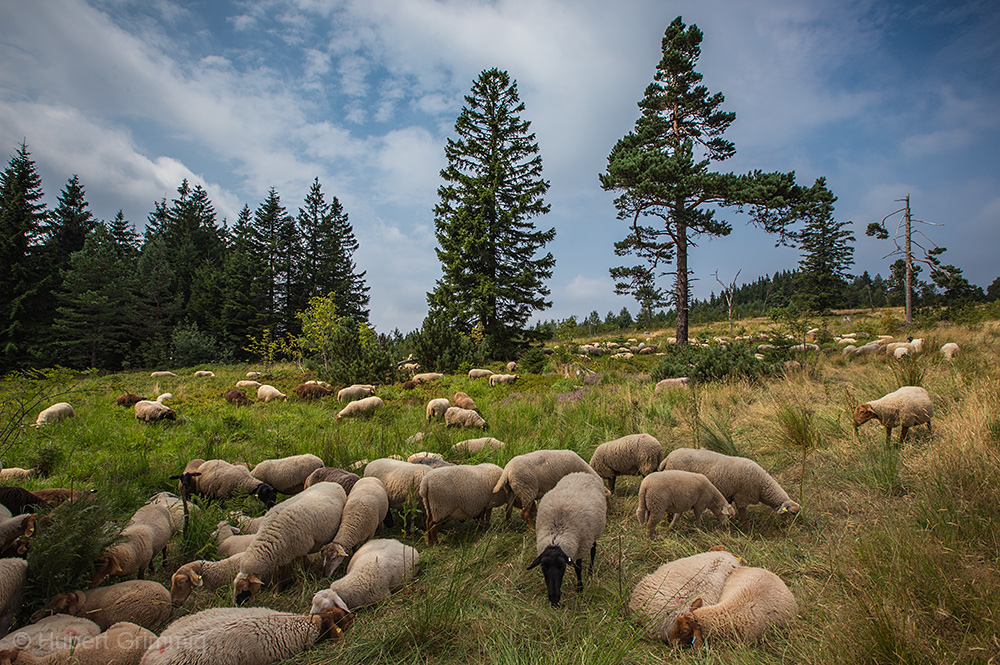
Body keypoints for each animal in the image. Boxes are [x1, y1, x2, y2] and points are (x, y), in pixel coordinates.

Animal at [528, 470, 604, 604]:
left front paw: (580, 588)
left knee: (593, 549)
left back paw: (590, 571)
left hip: (593, 533)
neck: (556, 536)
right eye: (543, 567)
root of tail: (582, 473)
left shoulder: (580, 546)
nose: (554, 599)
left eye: (563, 567)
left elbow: (578, 568)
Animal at [660, 446, 800, 528]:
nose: (795, 528)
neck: (762, 486)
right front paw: (746, 533)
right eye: (793, 513)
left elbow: (731, 512)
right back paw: (668, 522)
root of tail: (667, 458)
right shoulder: (741, 496)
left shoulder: (730, 495)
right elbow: (744, 518)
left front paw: (732, 525)